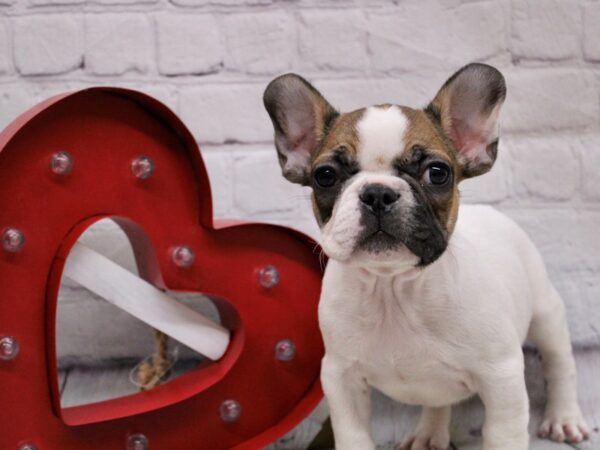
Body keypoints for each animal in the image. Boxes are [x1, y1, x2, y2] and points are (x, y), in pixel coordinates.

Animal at [264, 64, 592, 450]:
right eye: (325, 176)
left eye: (438, 172)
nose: (377, 193)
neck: (393, 289)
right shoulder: (341, 377)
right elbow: (353, 434)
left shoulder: (502, 377)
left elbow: (502, 434)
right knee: (438, 401)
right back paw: (428, 433)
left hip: (546, 314)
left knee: (560, 365)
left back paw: (564, 418)